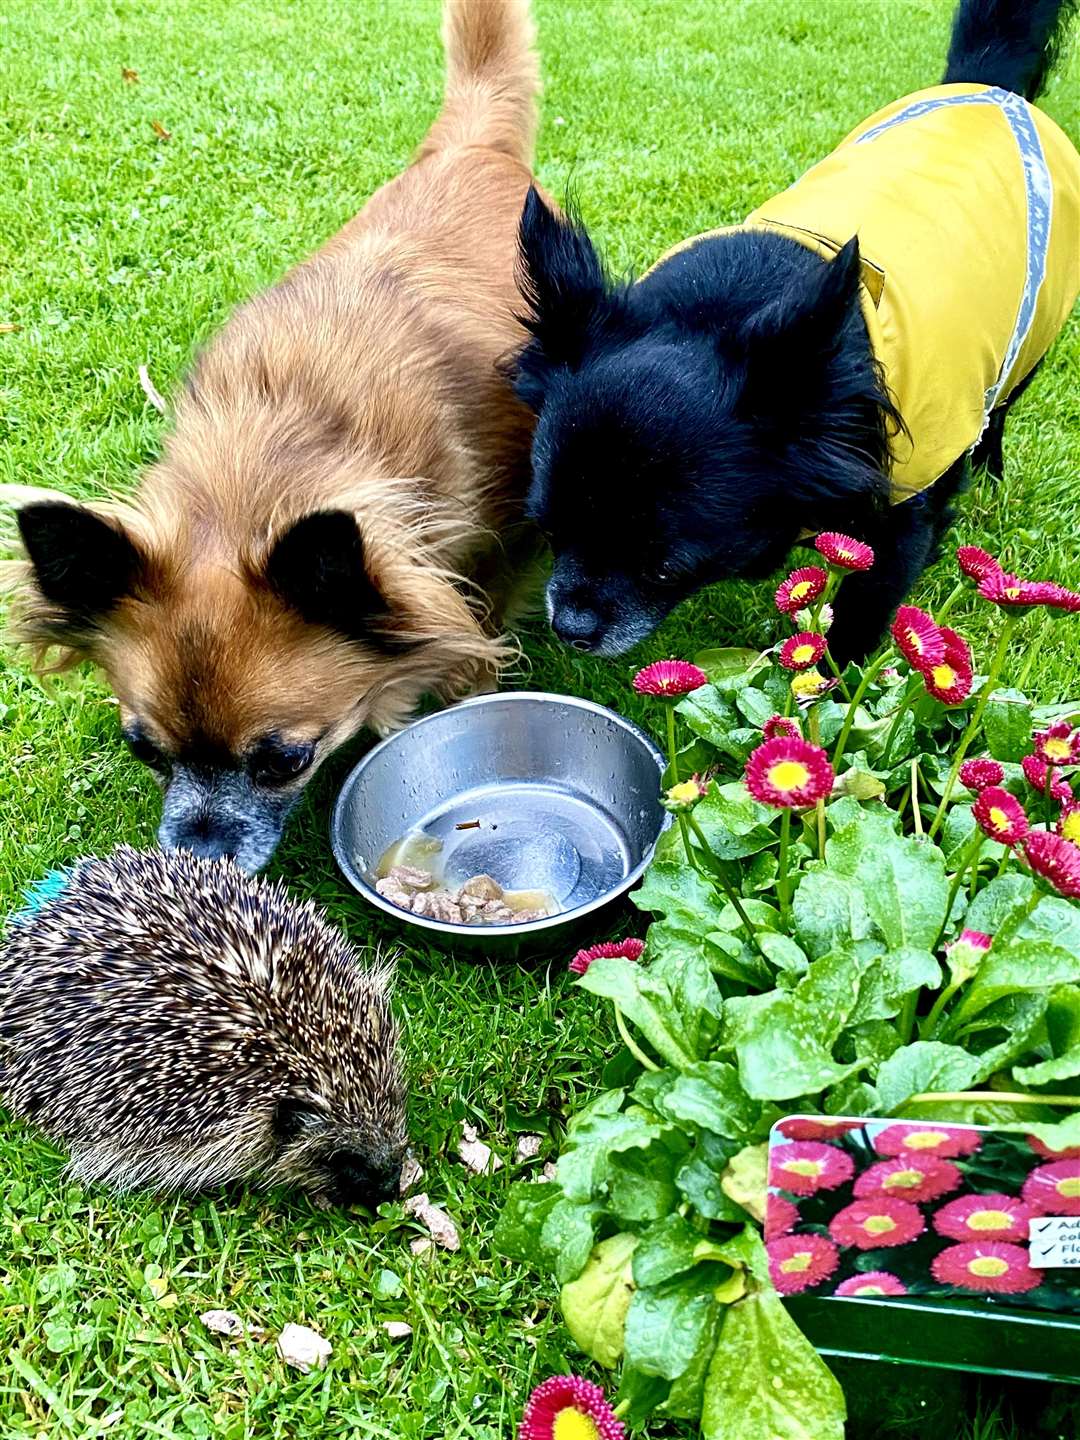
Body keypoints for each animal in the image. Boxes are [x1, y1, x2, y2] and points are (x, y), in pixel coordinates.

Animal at [0, 0, 541, 869]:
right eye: (144, 752)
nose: (194, 859)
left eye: (284, 761)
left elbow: (475, 632)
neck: (267, 466)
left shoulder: (496, 544)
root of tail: (469, 145)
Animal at [512, 0, 1077, 662]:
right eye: (548, 530)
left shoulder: (901, 525)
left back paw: (990, 470)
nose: (571, 627)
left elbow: (858, 619)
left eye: (666, 565)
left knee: (1000, 410)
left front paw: (832, 683)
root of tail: (990, 86)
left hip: (1029, 345)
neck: (723, 306)